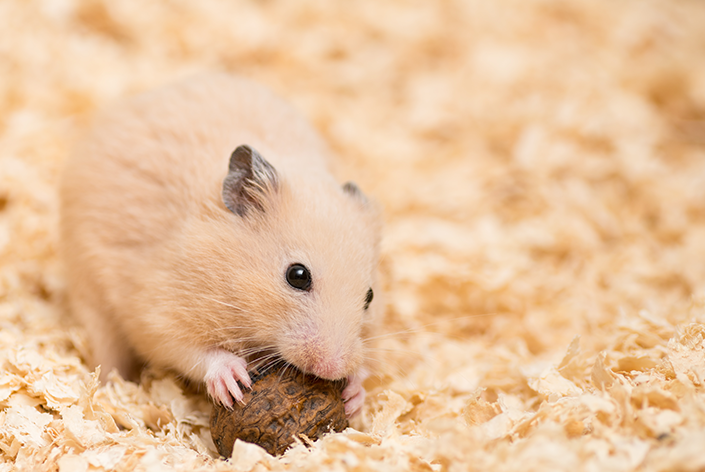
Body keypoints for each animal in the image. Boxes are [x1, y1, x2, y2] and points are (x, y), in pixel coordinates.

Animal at [59, 74, 380, 416]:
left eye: (370, 297)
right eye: (297, 276)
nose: (331, 369)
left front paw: (354, 395)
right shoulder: (156, 312)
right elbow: (190, 351)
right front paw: (232, 381)